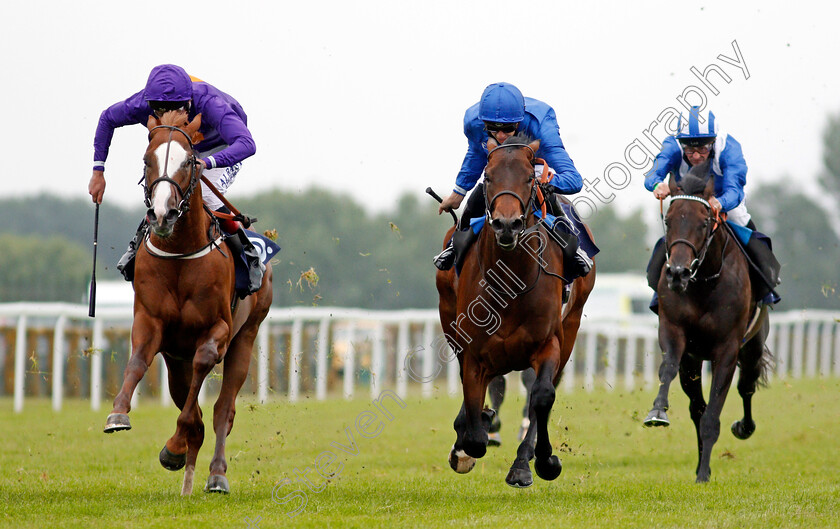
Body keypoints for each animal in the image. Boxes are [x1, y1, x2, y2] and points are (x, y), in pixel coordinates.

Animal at [101, 111, 272, 496]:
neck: (180, 252)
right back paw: (188, 475)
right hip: (175, 358)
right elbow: (137, 361)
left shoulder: (217, 329)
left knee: (223, 409)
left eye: (189, 162)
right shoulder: (150, 320)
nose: (162, 214)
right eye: (146, 160)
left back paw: (215, 475)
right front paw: (118, 414)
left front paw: (175, 445)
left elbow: (204, 368)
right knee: (190, 401)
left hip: (246, 335)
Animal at [434, 134, 596, 488]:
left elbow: (542, 395)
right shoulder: (474, 348)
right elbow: (474, 427)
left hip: (572, 324)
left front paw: (540, 462)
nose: (507, 225)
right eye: (488, 177)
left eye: (529, 178)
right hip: (448, 314)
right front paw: (469, 438)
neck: (510, 278)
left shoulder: (548, 342)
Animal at [644, 162, 776, 482]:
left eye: (704, 223)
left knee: (746, 386)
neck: (704, 281)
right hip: (692, 362)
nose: (677, 273)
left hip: (752, 347)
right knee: (697, 407)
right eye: (668, 221)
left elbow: (714, 415)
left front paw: (704, 474)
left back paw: (744, 427)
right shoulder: (675, 333)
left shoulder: (727, 349)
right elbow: (668, 368)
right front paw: (657, 412)